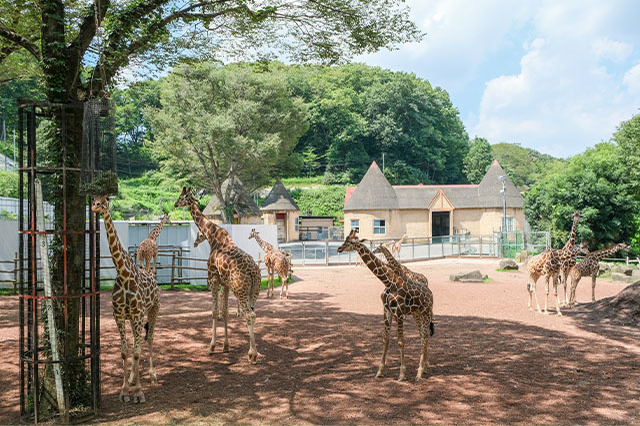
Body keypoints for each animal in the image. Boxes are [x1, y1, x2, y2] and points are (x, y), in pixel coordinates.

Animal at [90, 196, 159, 402]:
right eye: (93, 198)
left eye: (105, 199)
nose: (95, 206)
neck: (123, 273)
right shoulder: (119, 315)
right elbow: (124, 351)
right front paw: (124, 390)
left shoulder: (137, 315)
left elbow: (136, 352)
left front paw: (138, 392)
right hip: (134, 318)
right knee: (138, 341)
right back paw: (131, 378)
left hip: (153, 310)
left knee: (149, 338)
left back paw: (152, 375)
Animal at [175, 187, 260, 362]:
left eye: (181, 196)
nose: (174, 204)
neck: (212, 237)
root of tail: (253, 272)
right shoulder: (225, 284)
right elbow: (225, 313)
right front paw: (226, 346)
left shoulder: (212, 279)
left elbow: (214, 313)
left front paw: (212, 347)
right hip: (253, 292)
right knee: (254, 314)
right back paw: (251, 352)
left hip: (240, 290)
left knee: (249, 315)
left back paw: (252, 354)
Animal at [336, 230, 436, 382]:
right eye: (345, 238)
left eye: (352, 241)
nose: (339, 248)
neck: (388, 282)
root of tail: (430, 293)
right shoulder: (387, 311)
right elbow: (385, 340)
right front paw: (380, 371)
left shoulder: (399, 312)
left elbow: (401, 341)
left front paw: (401, 374)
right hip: (417, 314)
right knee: (422, 335)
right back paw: (424, 368)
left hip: (426, 313)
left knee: (424, 337)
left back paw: (419, 373)